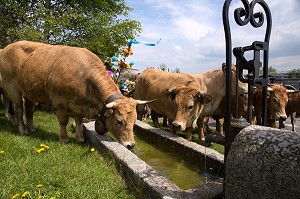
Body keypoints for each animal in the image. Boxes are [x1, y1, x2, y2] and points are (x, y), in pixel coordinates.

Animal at [0, 40, 151, 149]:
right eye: (119, 121)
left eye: (134, 121)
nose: (130, 145)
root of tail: (8, 47)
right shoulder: (59, 101)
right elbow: (63, 121)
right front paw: (64, 139)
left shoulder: (81, 105)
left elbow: (78, 121)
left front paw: (80, 138)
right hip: (12, 88)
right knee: (19, 109)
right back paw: (23, 130)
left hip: (30, 91)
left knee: (29, 110)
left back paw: (31, 128)